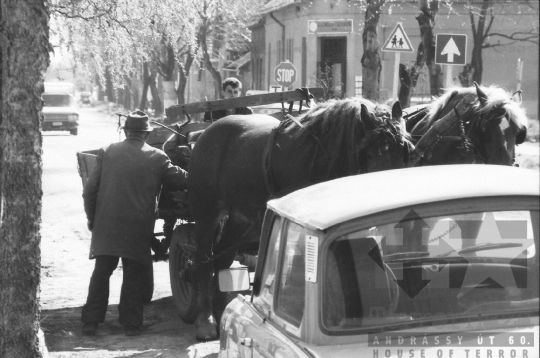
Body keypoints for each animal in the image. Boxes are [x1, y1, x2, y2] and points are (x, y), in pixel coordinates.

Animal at [188, 97, 416, 338]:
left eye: (406, 149)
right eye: (369, 151)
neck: (326, 155)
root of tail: (205, 134)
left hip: (240, 219)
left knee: (222, 259)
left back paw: (223, 310)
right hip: (206, 216)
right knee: (204, 260)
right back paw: (206, 319)